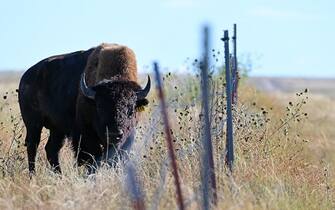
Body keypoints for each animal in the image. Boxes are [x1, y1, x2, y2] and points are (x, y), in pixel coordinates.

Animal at [17, 43, 150, 174]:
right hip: (33, 124)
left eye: (131, 109)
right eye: (99, 107)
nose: (115, 134)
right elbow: (92, 158)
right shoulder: (85, 134)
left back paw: (60, 175)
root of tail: (25, 77)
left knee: (51, 149)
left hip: (57, 129)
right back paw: (33, 175)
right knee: (32, 146)